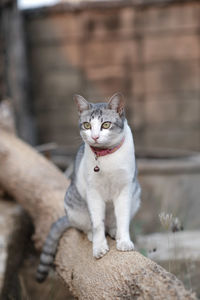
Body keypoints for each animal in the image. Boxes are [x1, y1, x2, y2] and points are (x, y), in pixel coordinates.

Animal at [36, 92, 141, 282]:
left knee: (113, 222)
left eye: (105, 124)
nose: (95, 136)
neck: (105, 156)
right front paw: (99, 247)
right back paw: (93, 235)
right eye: (87, 125)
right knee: (88, 226)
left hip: (135, 196)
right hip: (73, 205)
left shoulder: (125, 189)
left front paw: (124, 241)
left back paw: (114, 231)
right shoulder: (94, 192)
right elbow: (97, 223)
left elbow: (123, 218)